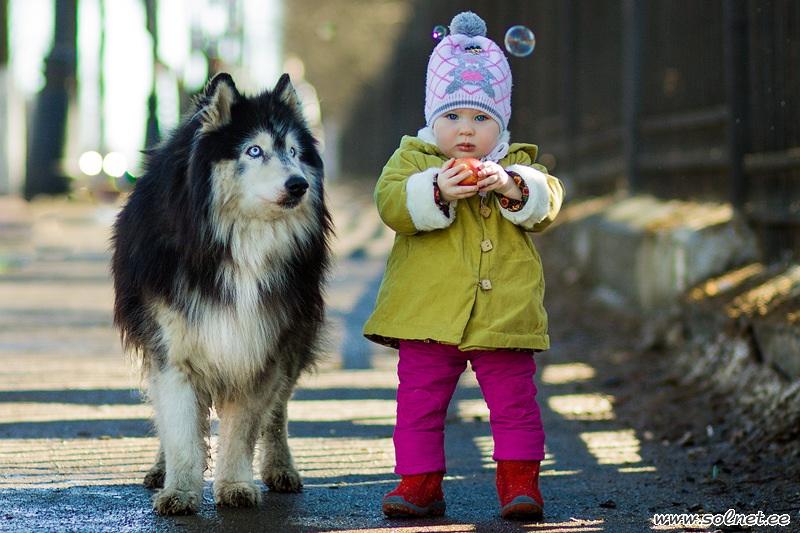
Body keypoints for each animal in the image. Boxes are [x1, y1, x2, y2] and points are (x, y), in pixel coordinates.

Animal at [111, 72, 330, 512]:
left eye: (294, 152)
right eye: (254, 150)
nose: (298, 185)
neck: (237, 244)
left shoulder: (259, 347)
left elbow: (243, 429)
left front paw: (234, 485)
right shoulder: (173, 351)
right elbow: (180, 429)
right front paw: (179, 490)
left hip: (292, 341)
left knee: (277, 413)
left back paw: (280, 467)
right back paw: (161, 469)